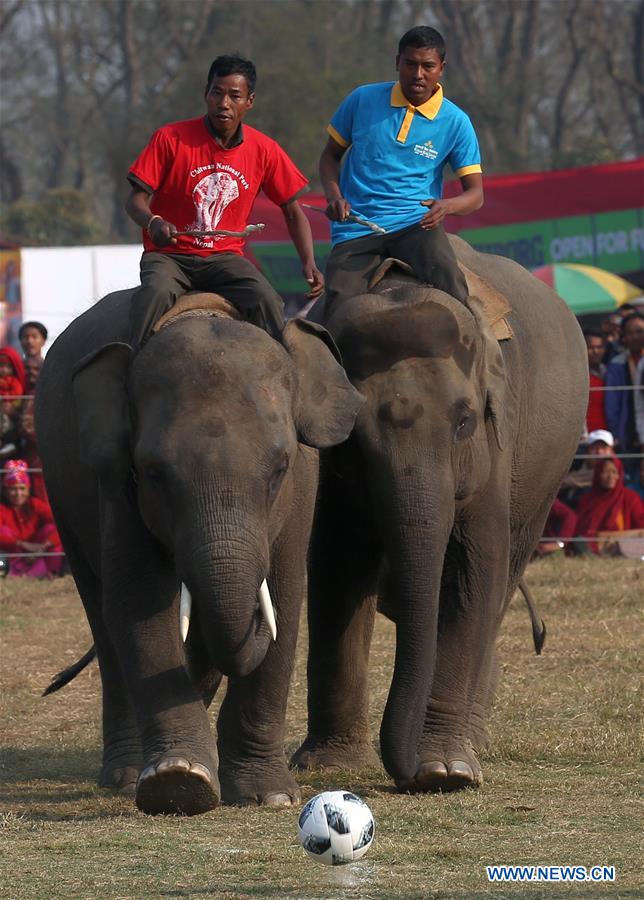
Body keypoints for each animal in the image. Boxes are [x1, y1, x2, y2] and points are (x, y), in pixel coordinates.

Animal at [36, 290, 362, 816]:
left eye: (280, 467)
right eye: (153, 473)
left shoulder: (303, 489)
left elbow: (285, 598)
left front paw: (268, 795)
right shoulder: (117, 484)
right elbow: (138, 604)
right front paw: (178, 782)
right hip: (60, 492)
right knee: (103, 618)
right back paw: (126, 775)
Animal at [292, 236, 588, 792]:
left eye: (464, 422)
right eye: (354, 438)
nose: (405, 774)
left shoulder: (497, 442)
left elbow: (474, 569)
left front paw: (446, 772)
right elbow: (336, 568)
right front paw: (329, 766)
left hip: (547, 475)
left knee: (503, 578)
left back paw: (472, 745)